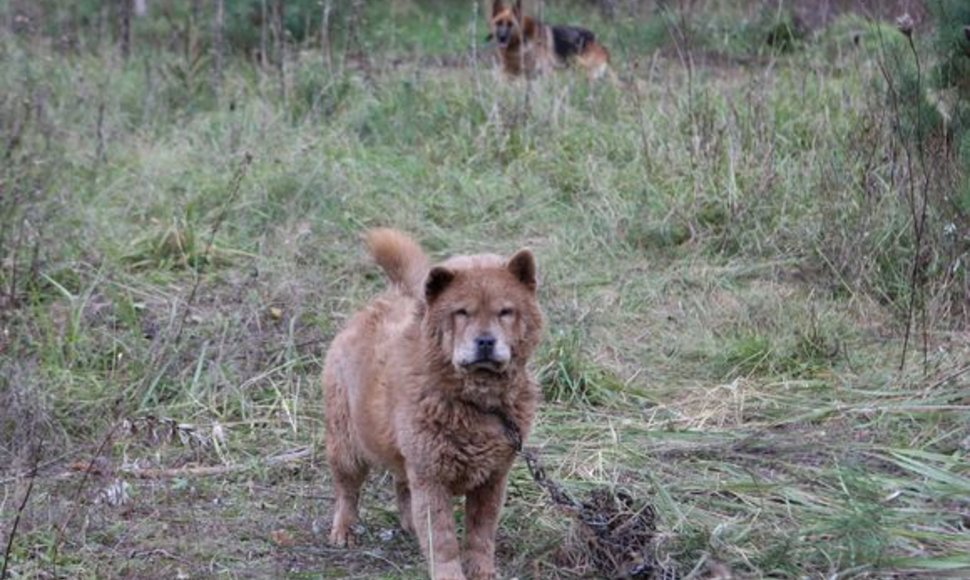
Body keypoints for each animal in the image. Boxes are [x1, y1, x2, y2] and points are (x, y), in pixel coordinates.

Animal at [322, 229, 540, 580]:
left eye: (505, 311)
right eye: (462, 312)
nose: (485, 341)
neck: (476, 402)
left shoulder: (493, 477)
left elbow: (481, 533)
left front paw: (482, 571)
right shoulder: (431, 476)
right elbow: (443, 540)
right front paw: (450, 574)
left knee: (401, 485)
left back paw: (408, 526)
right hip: (345, 443)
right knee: (347, 490)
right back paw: (344, 532)